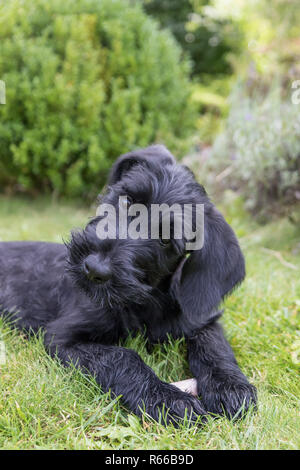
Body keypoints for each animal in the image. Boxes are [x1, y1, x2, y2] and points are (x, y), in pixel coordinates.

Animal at [0, 146, 258, 426]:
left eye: (166, 239)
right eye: (126, 201)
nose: (94, 268)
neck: (144, 302)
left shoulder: (200, 320)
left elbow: (214, 346)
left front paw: (230, 386)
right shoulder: (61, 338)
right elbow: (122, 356)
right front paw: (167, 398)